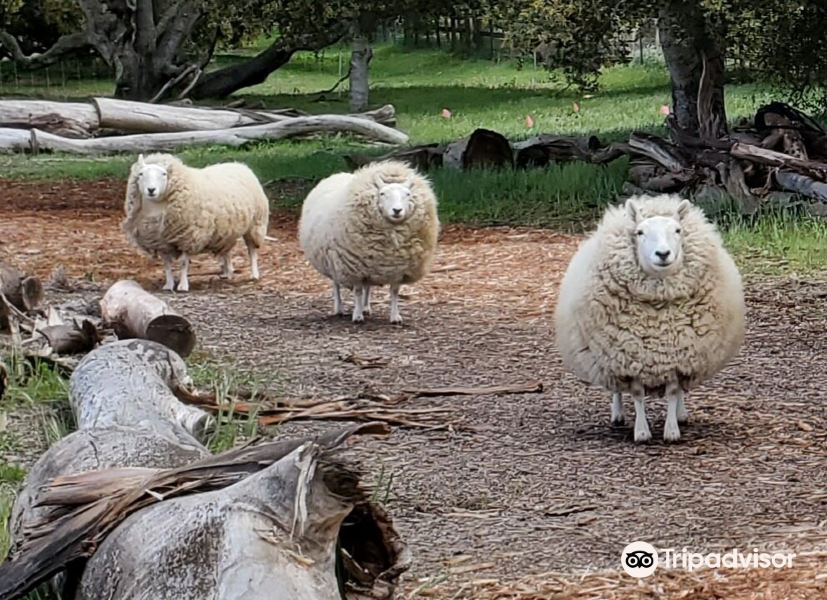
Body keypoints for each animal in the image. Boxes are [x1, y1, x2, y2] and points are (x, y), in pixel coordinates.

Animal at [121, 154, 270, 292]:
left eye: (164, 174)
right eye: (141, 174)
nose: (151, 190)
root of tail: (239, 165)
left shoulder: (189, 237)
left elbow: (183, 263)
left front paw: (183, 286)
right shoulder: (160, 241)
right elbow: (167, 264)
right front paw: (168, 285)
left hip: (256, 223)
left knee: (251, 250)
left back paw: (254, 274)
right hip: (227, 229)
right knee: (226, 250)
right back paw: (227, 273)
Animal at [298, 157, 440, 322]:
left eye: (408, 194)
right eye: (382, 193)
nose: (397, 210)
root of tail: (337, 174)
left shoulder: (397, 269)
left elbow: (394, 292)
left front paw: (395, 316)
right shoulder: (353, 267)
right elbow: (357, 291)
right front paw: (357, 315)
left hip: (369, 262)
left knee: (368, 286)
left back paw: (366, 307)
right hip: (333, 262)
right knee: (336, 285)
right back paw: (339, 309)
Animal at [556, 195, 744, 442]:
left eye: (677, 230)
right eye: (640, 232)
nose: (663, 254)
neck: (658, 316)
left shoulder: (677, 355)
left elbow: (673, 391)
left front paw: (672, 430)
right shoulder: (630, 356)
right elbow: (637, 394)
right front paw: (642, 431)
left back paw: (681, 414)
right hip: (608, 354)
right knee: (616, 388)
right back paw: (617, 415)